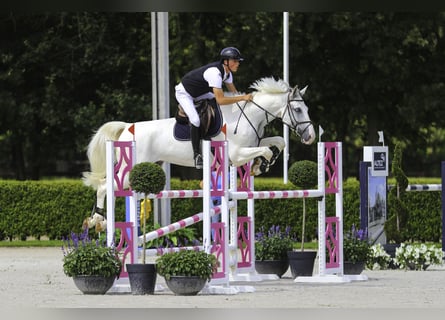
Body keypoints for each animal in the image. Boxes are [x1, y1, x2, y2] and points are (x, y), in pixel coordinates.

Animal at [80, 79, 316, 231]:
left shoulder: (252, 144)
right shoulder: (237, 154)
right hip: (131, 169)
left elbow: (278, 142)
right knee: (104, 186)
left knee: (108, 186)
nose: (311, 136)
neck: (249, 116)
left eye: (306, 109)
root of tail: (127, 127)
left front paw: (260, 166)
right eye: (297, 110)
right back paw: (98, 220)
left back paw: (100, 221)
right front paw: (261, 165)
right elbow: (266, 150)